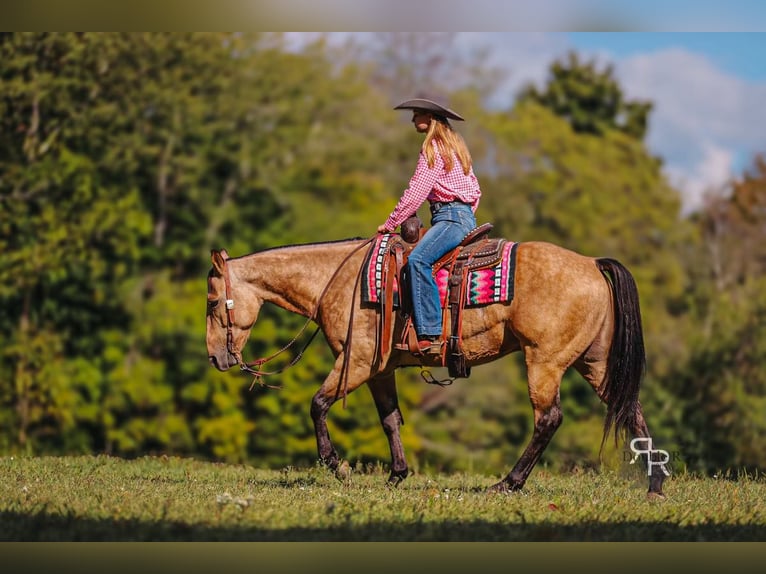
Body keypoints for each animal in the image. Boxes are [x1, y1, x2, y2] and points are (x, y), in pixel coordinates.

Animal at [205, 235, 667, 498]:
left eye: (211, 301)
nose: (215, 357)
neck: (340, 279)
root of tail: (591, 263)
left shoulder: (355, 361)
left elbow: (317, 405)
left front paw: (338, 466)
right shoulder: (379, 370)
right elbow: (390, 420)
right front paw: (397, 475)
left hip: (544, 361)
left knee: (548, 419)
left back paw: (508, 483)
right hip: (594, 363)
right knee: (630, 409)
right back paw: (656, 485)